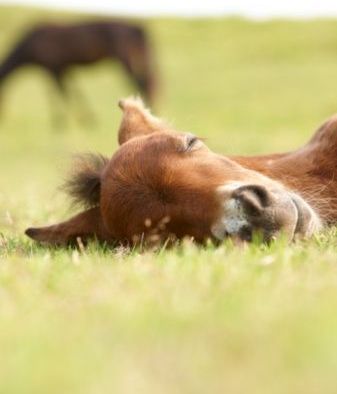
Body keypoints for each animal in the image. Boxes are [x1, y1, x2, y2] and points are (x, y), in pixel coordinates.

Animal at [0, 20, 156, 126]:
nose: (4, 116)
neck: (30, 45)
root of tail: (138, 28)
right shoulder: (64, 69)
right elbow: (74, 92)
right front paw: (87, 119)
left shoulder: (53, 68)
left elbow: (60, 94)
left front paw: (60, 122)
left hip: (124, 59)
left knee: (142, 82)